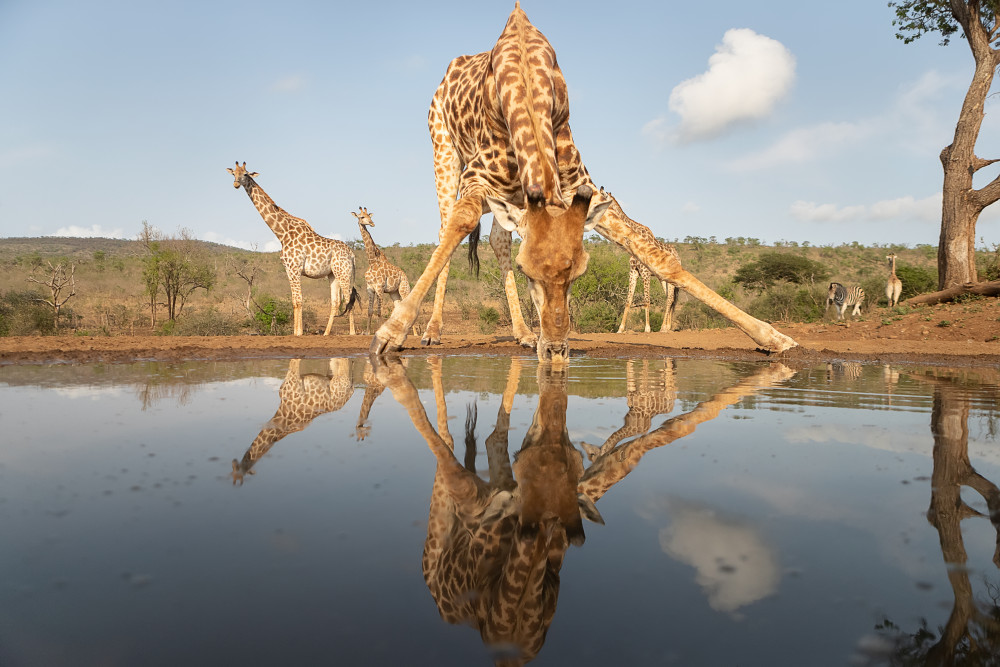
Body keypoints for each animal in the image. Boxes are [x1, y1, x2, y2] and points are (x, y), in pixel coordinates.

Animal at [227, 161, 358, 336]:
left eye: (246, 174)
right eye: (234, 173)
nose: (236, 184)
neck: (282, 233)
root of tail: (352, 254)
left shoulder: (295, 268)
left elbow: (299, 300)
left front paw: (299, 332)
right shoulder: (288, 269)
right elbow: (294, 301)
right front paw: (295, 332)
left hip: (344, 272)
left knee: (349, 299)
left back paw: (352, 333)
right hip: (333, 274)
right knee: (336, 302)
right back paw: (326, 333)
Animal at [351, 206, 419, 335]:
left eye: (370, 216)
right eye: (362, 217)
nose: (372, 223)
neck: (372, 262)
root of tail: (404, 275)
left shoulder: (380, 287)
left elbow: (379, 311)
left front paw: (378, 331)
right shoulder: (370, 288)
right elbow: (370, 311)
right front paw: (367, 332)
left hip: (403, 288)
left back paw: (416, 333)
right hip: (394, 293)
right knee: (397, 307)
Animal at [369, 3, 796, 361]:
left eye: (579, 274)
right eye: (529, 273)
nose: (556, 350)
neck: (527, 82)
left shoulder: (579, 188)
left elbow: (659, 259)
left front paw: (772, 337)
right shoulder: (477, 177)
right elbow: (458, 226)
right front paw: (390, 334)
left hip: (509, 194)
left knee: (497, 239)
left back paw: (523, 333)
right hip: (444, 152)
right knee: (447, 226)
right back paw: (433, 331)